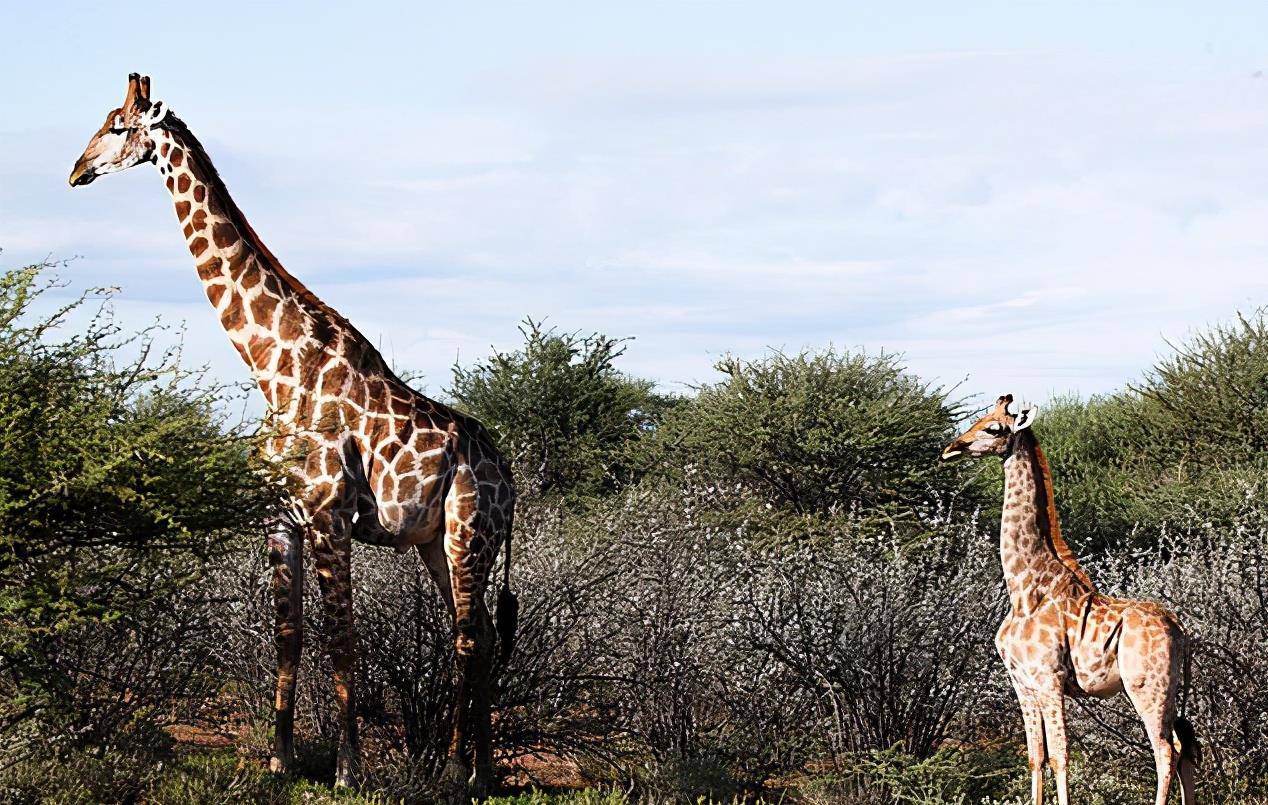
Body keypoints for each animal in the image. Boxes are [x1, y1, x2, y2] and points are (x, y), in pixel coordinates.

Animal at [66, 74, 514, 796]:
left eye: (116, 127)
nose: (76, 170)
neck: (273, 369)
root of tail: (512, 480)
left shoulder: (330, 515)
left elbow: (342, 639)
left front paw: (348, 768)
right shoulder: (281, 519)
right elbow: (288, 637)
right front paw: (280, 760)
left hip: (469, 533)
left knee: (470, 638)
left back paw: (455, 768)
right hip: (435, 543)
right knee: (476, 638)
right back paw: (482, 769)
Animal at [943, 398, 1196, 805]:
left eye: (994, 428)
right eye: (979, 418)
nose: (952, 448)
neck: (1024, 588)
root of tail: (1180, 629)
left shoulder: (1050, 679)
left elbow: (1060, 756)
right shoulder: (1022, 682)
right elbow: (1035, 756)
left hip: (1147, 687)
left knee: (1165, 750)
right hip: (1170, 690)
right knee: (1185, 746)